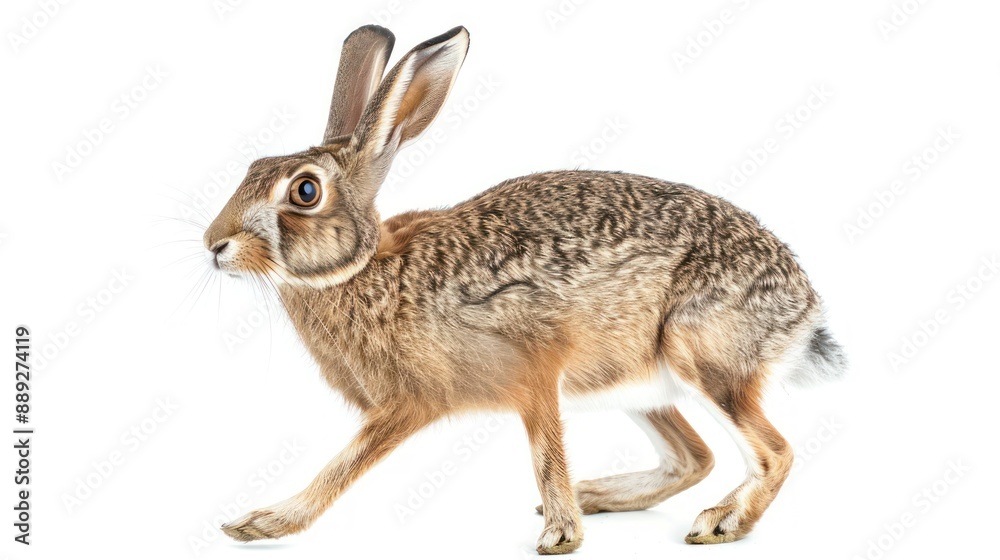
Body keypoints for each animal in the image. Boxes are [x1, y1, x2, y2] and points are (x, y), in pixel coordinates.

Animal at [205, 24, 846, 555]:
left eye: (305, 191)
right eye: (253, 167)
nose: (214, 244)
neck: (366, 267)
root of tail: (804, 308)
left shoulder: (500, 377)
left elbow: (354, 465)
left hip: (701, 356)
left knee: (774, 451)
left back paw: (720, 522)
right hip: (637, 382)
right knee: (694, 457)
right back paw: (600, 495)